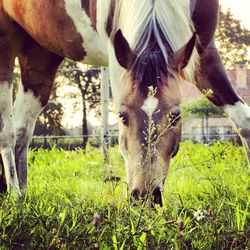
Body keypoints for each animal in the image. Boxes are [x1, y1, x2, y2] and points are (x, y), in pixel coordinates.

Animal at [0, 0, 250, 204]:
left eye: (176, 116)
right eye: (121, 116)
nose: (146, 195)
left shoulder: (203, 51)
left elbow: (243, 121)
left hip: (40, 55)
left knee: (22, 129)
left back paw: (21, 192)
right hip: (6, 46)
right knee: (8, 133)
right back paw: (14, 195)